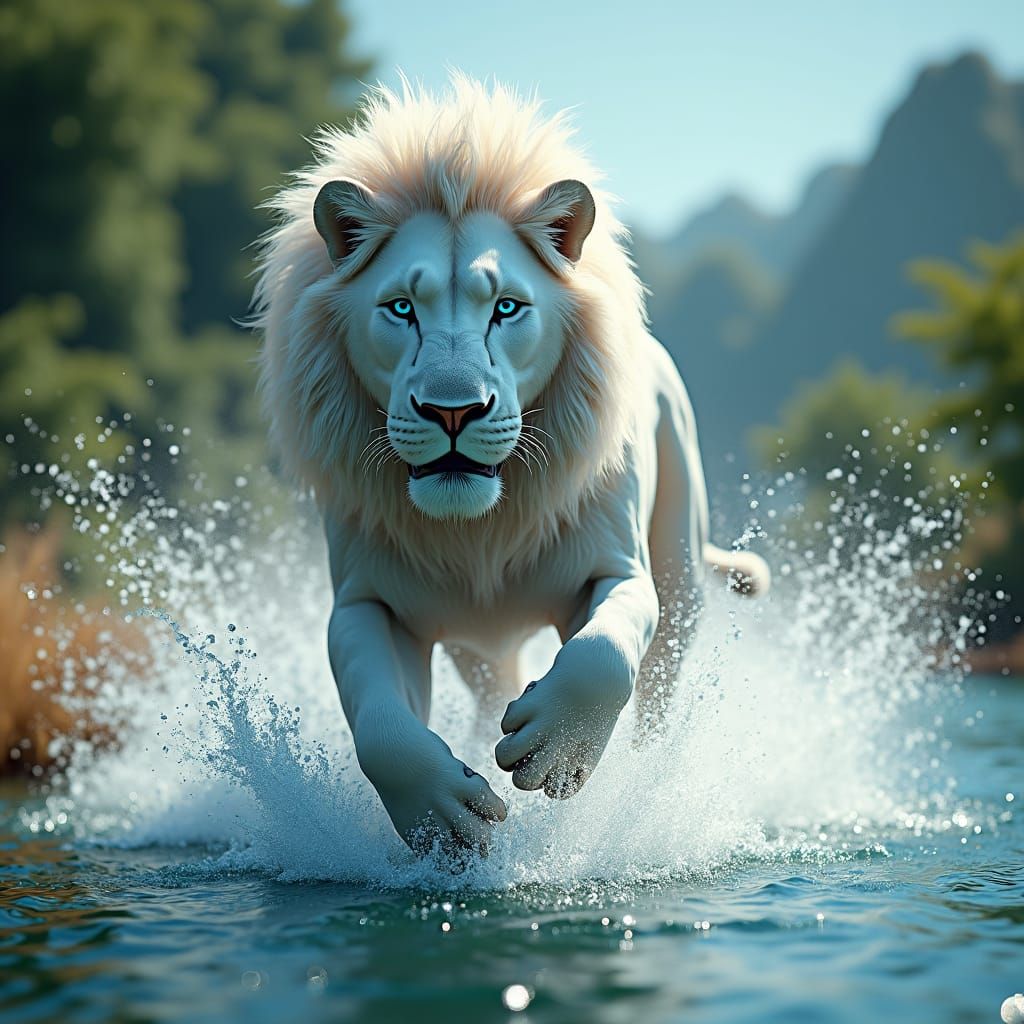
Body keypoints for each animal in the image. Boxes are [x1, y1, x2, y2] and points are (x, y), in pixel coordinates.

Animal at [254, 75, 769, 856]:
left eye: (506, 307)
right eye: (400, 308)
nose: (453, 411)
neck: (481, 532)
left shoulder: (617, 568)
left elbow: (602, 655)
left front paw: (554, 753)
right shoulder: (366, 602)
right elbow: (380, 725)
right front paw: (444, 817)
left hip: (681, 569)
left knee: (657, 686)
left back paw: (646, 783)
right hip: (474, 645)